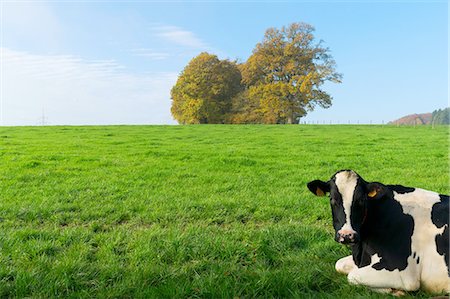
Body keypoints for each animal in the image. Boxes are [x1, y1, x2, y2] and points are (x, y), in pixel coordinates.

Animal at [308, 170, 448, 296]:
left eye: (361, 200)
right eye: (331, 198)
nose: (347, 235)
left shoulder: (404, 274)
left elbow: (352, 276)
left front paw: (395, 291)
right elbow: (339, 264)